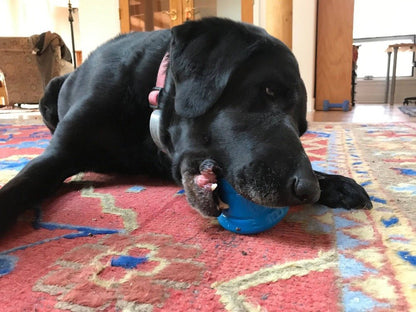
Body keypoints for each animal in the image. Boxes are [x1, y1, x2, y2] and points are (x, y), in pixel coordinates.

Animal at [0, 17, 370, 232]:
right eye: (268, 91)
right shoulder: (58, 155)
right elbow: (23, 183)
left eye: (302, 128)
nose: (307, 190)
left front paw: (334, 182)